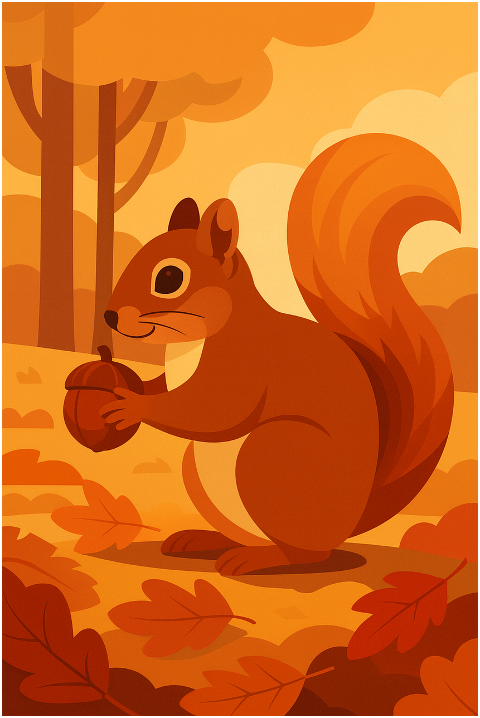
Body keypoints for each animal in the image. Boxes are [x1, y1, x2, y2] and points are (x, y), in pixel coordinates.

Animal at [101, 133, 461, 576]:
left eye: (169, 277)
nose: (109, 316)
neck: (189, 343)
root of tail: (349, 522)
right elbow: (164, 388)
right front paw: (132, 383)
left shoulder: (247, 362)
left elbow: (210, 413)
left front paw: (130, 404)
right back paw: (204, 540)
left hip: (272, 455)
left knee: (306, 554)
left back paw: (258, 559)